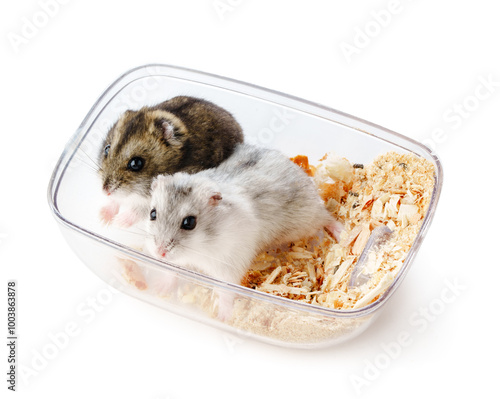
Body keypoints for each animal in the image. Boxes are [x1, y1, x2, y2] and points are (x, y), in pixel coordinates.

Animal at [98, 95, 244, 227]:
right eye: (107, 148)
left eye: (136, 163)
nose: (105, 191)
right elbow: (116, 201)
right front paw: (103, 218)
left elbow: (138, 210)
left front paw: (118, 222)